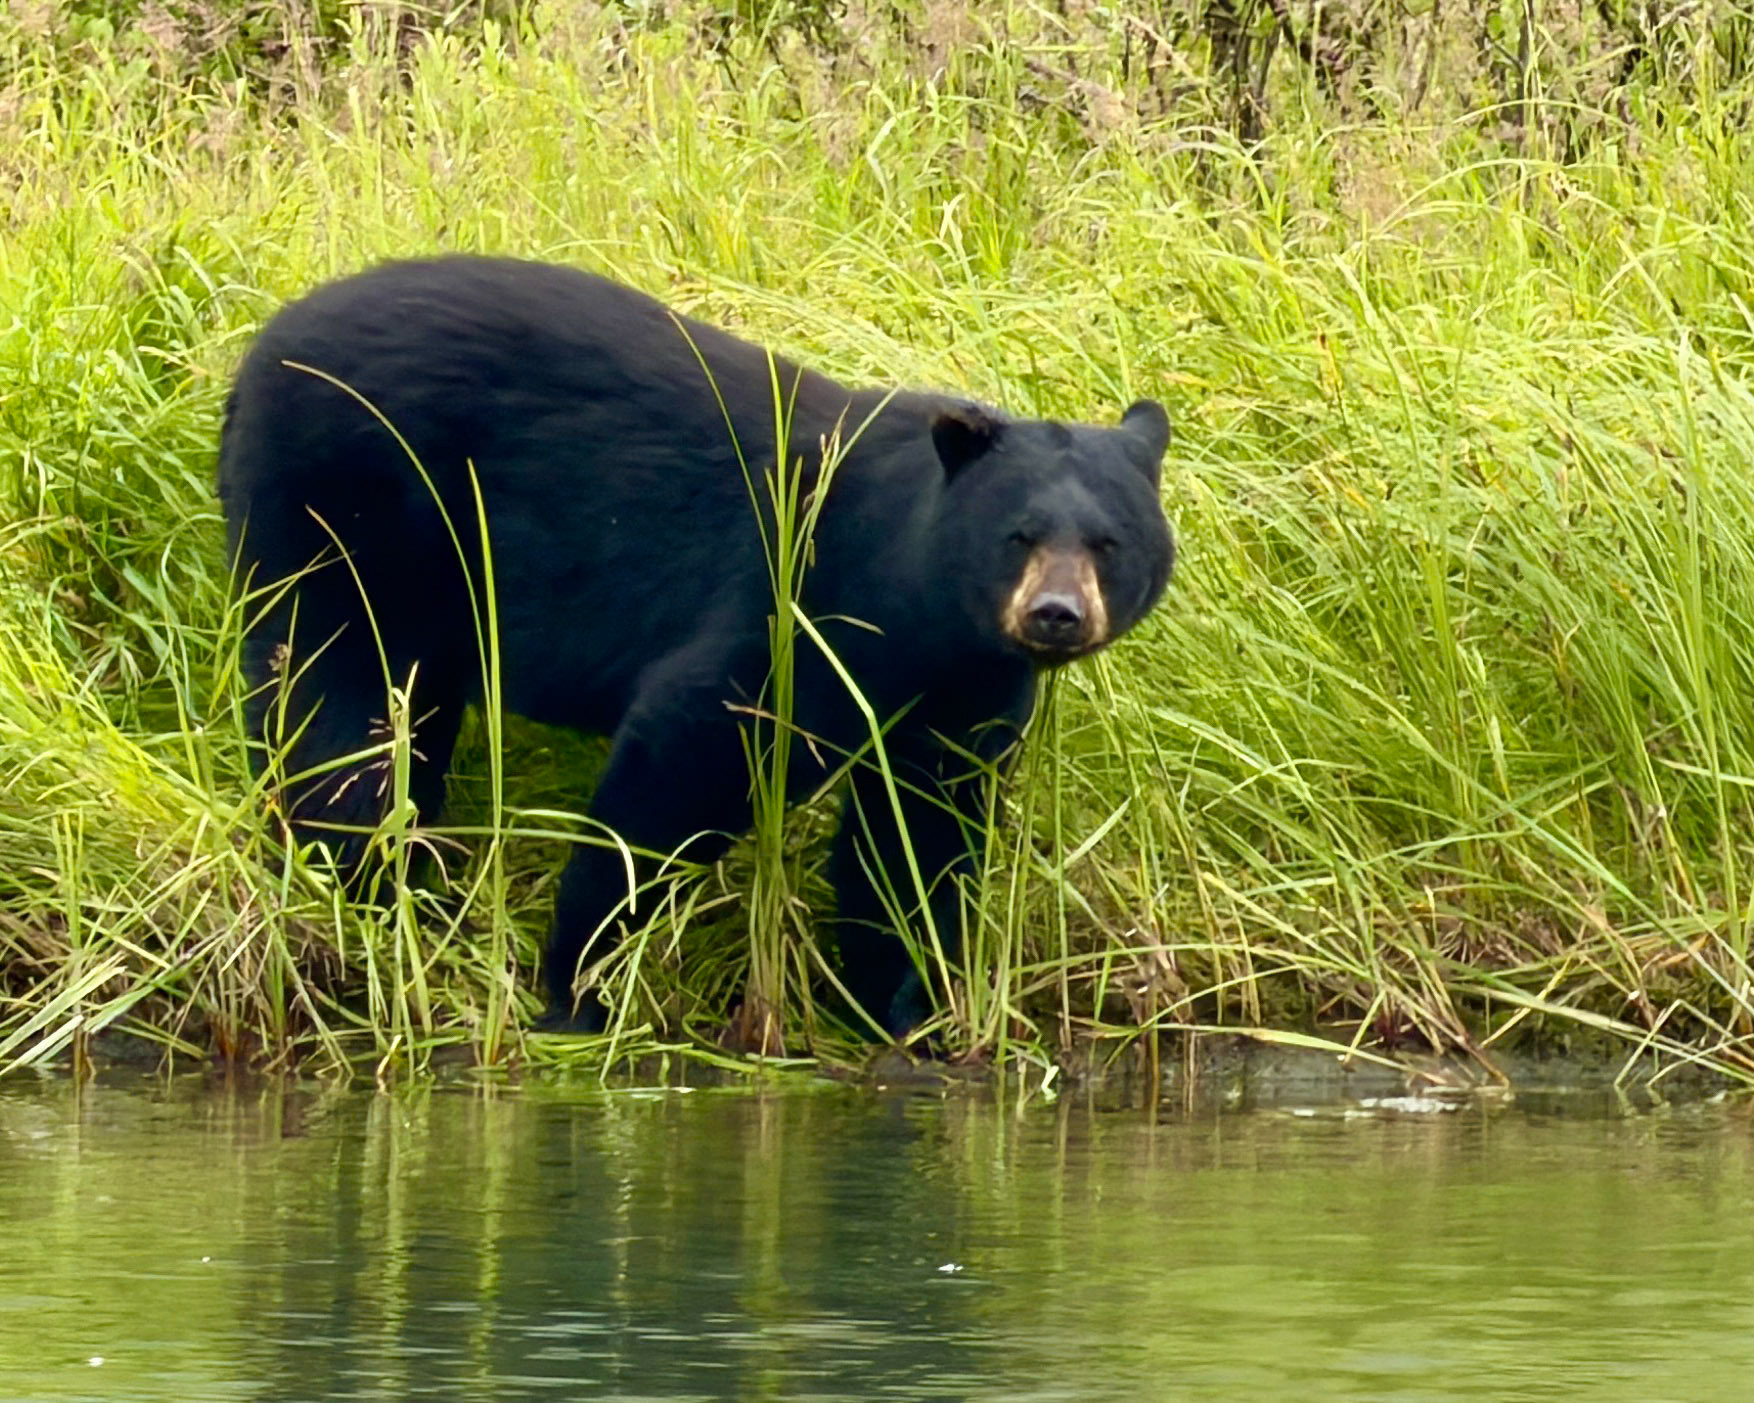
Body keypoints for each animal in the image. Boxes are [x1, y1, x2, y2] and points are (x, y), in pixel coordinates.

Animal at [218, 256, 1175, 1039]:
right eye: (1019, 534)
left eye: (1110, 541)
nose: (1055, 614)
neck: (924, 611)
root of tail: (262, 345)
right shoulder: (799, 602)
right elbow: (688, 754)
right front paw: (578, 985)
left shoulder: (963, 693)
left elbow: (916, 835)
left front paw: (904, 1009)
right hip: (341, 516)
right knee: (338, 711)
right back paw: (361, 882)